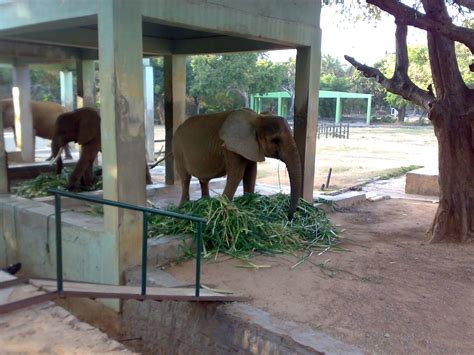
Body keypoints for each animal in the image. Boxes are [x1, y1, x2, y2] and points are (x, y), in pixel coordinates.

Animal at [174, 108, 304, 221]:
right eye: (275, 140)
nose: (289, 218)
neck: (257, 118)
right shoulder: (230, 148)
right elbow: (237, 174)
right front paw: (223, 207)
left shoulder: (251, 147)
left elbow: (251, 173)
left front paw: (248, 201)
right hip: (178, 149)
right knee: (185, 178)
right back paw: (183, 207)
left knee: (202, 181)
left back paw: (204, 201)